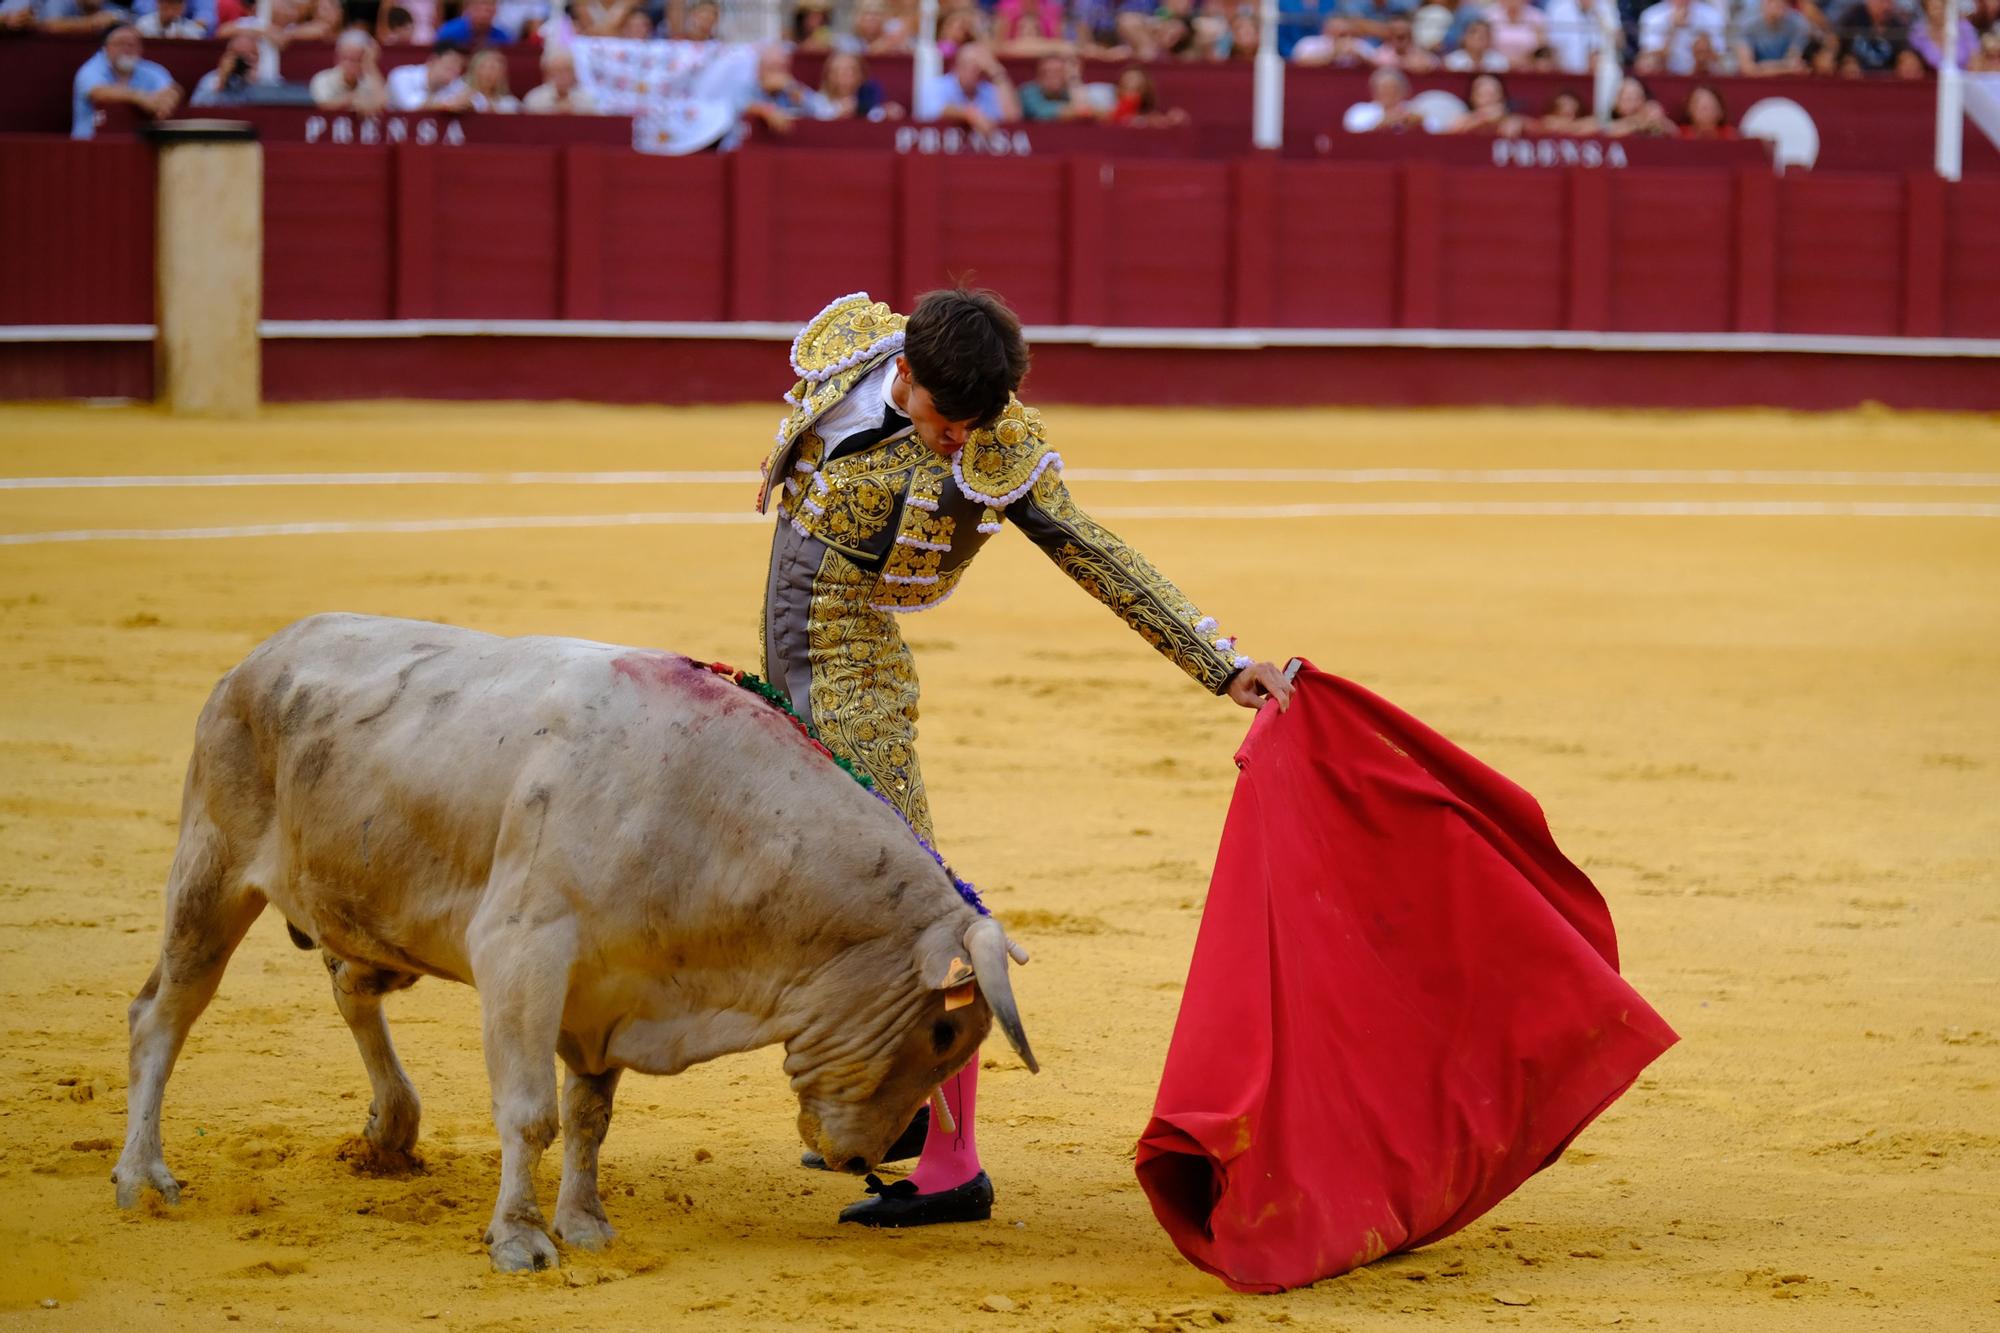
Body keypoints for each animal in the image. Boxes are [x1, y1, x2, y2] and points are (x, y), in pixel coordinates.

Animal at [115, 612, 1040, 1264]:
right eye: (945, 1029)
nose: (865, 1158)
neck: (717, 815)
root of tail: (256, 658)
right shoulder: (522, 953)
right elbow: (530, 1113)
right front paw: (521, 1239)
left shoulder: (612, 991)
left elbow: (589, 1116)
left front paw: (585, 1223)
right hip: (210, 873)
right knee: (162, 1015)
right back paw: (144, 1176)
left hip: (372, 917)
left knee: (349, 987)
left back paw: (391, 1131)